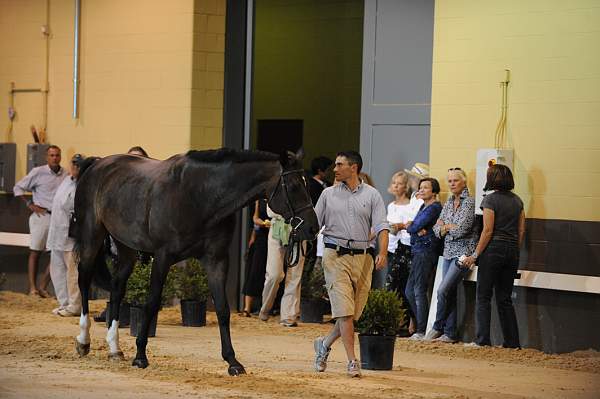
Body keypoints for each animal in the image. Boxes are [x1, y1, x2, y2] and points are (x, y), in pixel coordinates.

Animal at [73, 148, 318, 376]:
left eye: (307, 185)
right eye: (294, 186)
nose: (313, 228)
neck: (201, 195)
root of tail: (97, 164)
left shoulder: (216, 260)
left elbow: (222, 309)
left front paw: (233, 362)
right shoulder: (162, 257)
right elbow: (151, 303)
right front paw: (141, 356)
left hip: (127, 248)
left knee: (117, 288)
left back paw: (114, 348)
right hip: (91, 237)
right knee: (83, 279)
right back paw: (83, 340)